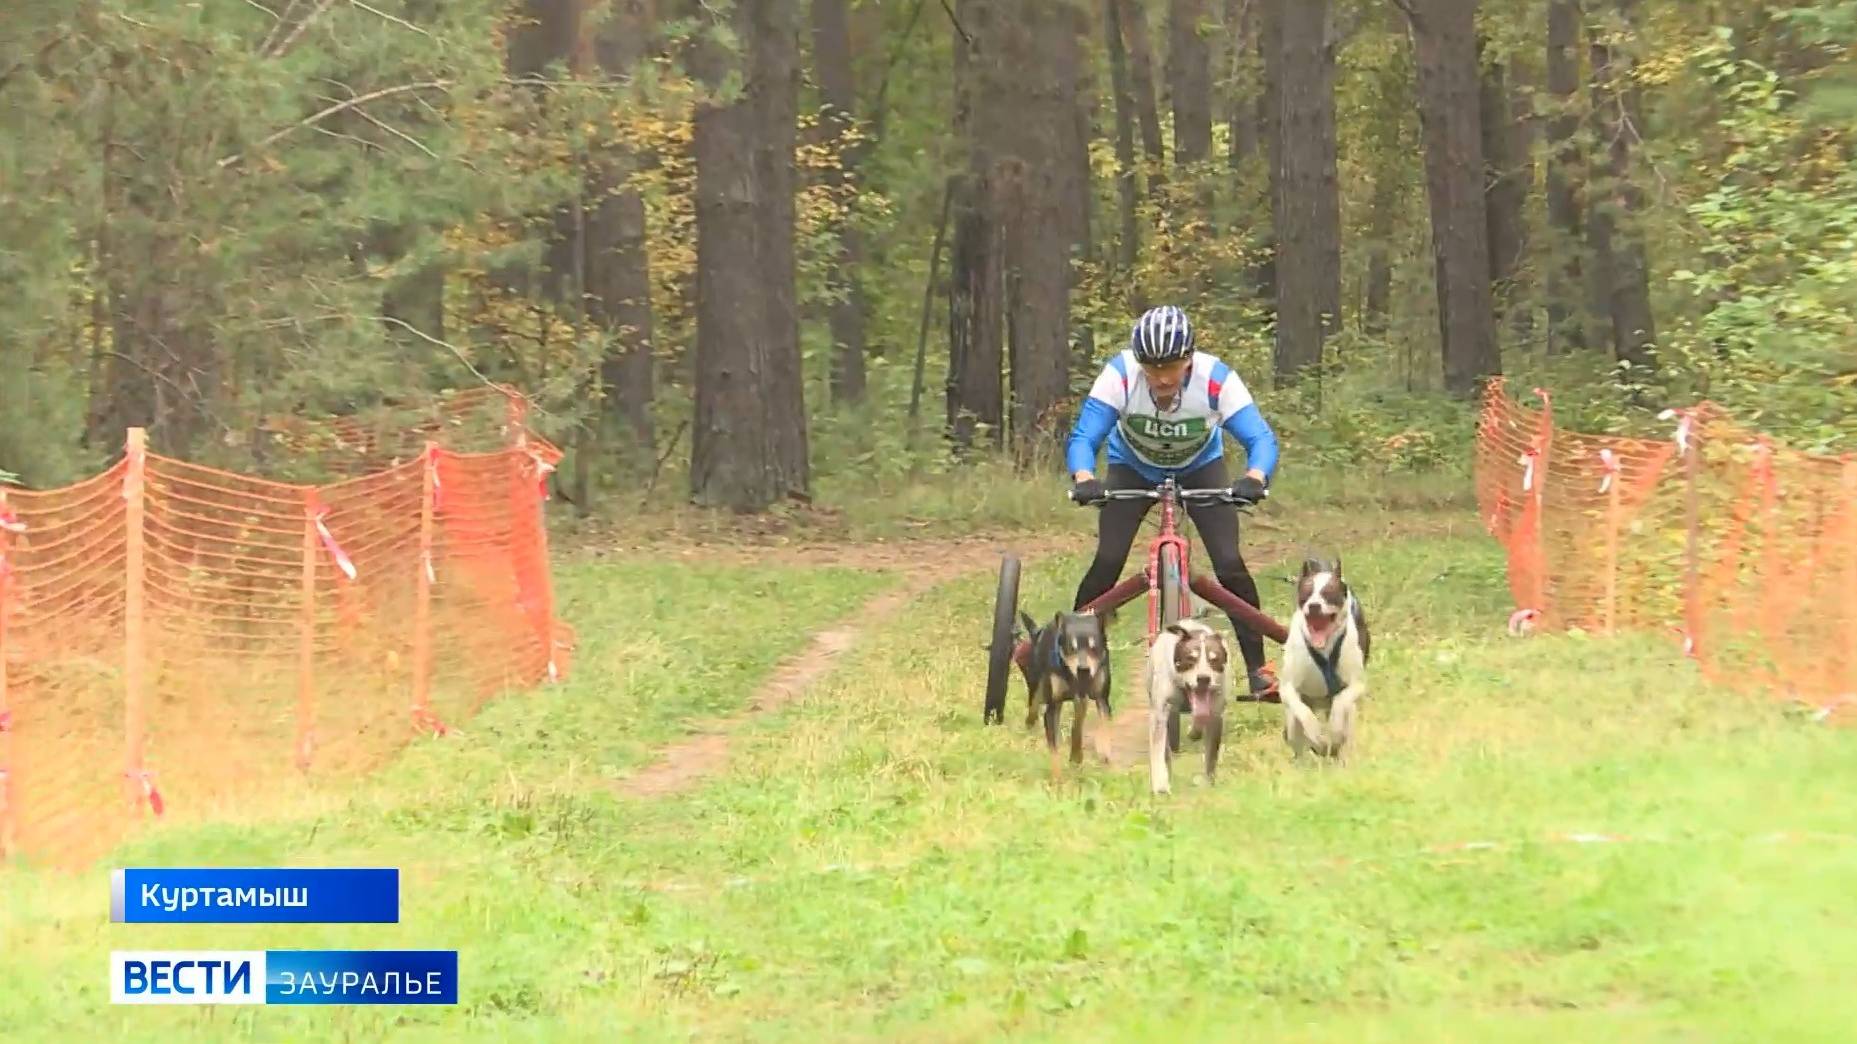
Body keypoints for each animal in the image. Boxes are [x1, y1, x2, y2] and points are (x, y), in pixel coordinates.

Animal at [1025, 609, 1106, 772]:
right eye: (1071, 647)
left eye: (1094, 648)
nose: (1083, 669)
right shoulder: (1052, 706)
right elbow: (1054, 748)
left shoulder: (1095, 698)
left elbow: (1079, 728)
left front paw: (1076, 757)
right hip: (1039, 686)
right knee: (1034, 705)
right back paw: (1029, 724)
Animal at [1143, 613, 1233, 791]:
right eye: (1190, 658)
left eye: (1215, 659)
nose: (1203, 678)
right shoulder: (1159, 712)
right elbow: (1157, 749)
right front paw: (1160, 784)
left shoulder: (1216, 713)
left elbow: (1211, 752)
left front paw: (1208, 781)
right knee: (1166, 748)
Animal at [1285, 557, 1374, 761]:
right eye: (1307, 593)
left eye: (1328, 593)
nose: (1314, 606)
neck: (1324, 649)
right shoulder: (1287, 688)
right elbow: (1303, 711)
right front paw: (1315, 733)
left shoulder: (1356, 685)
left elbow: (1341, 701)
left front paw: (1334, 729)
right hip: (1293, 723)